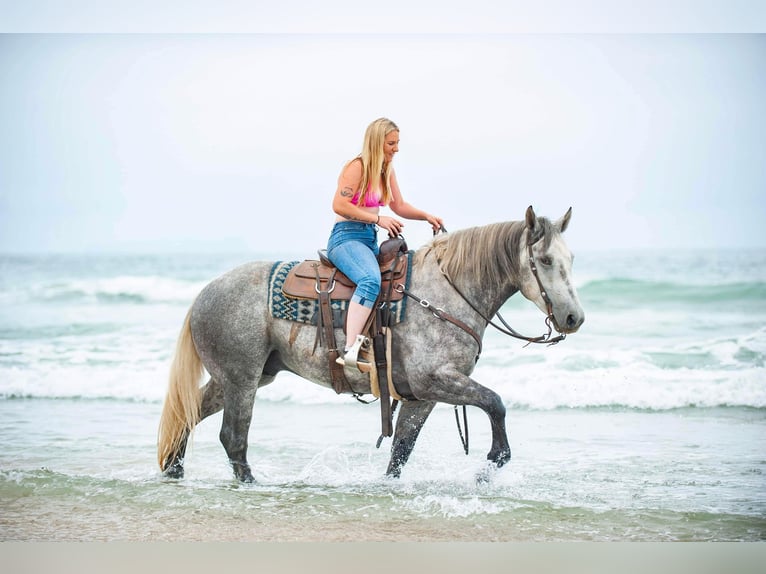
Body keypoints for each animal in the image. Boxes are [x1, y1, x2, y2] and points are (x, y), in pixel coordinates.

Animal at [159, 207, 584, 482]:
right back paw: (250, 484)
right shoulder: (437, 380)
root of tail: (203, 294)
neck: (447, 292)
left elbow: (402, 449)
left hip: (240, 379)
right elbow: (495, 403)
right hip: (241, 379)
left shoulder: (421, 395)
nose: (573, 318)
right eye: (545, 260)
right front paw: (494, 461)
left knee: (188, 414)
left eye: (571, 257)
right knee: (233, 437)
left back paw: (174, 471)